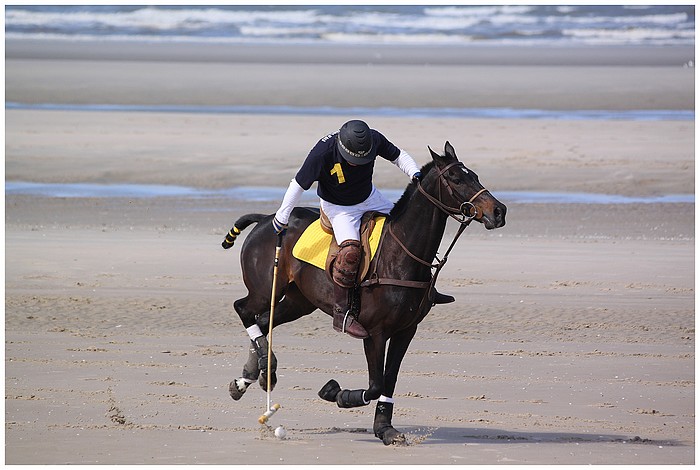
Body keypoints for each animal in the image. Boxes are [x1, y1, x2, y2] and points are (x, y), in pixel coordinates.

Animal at [221, 140, 506, 444]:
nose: (499, 211)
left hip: (300, 301)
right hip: (266, 290)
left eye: (474, 175)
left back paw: (252, 375)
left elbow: (389, 381)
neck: (401, 253)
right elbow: (375, 383)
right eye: (455, 178)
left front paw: (385, 428)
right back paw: (264, 366)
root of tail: (265, 219)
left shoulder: (407, 330)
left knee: (264, 321)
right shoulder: (375, 332)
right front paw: (336, 393)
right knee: (243, 308)